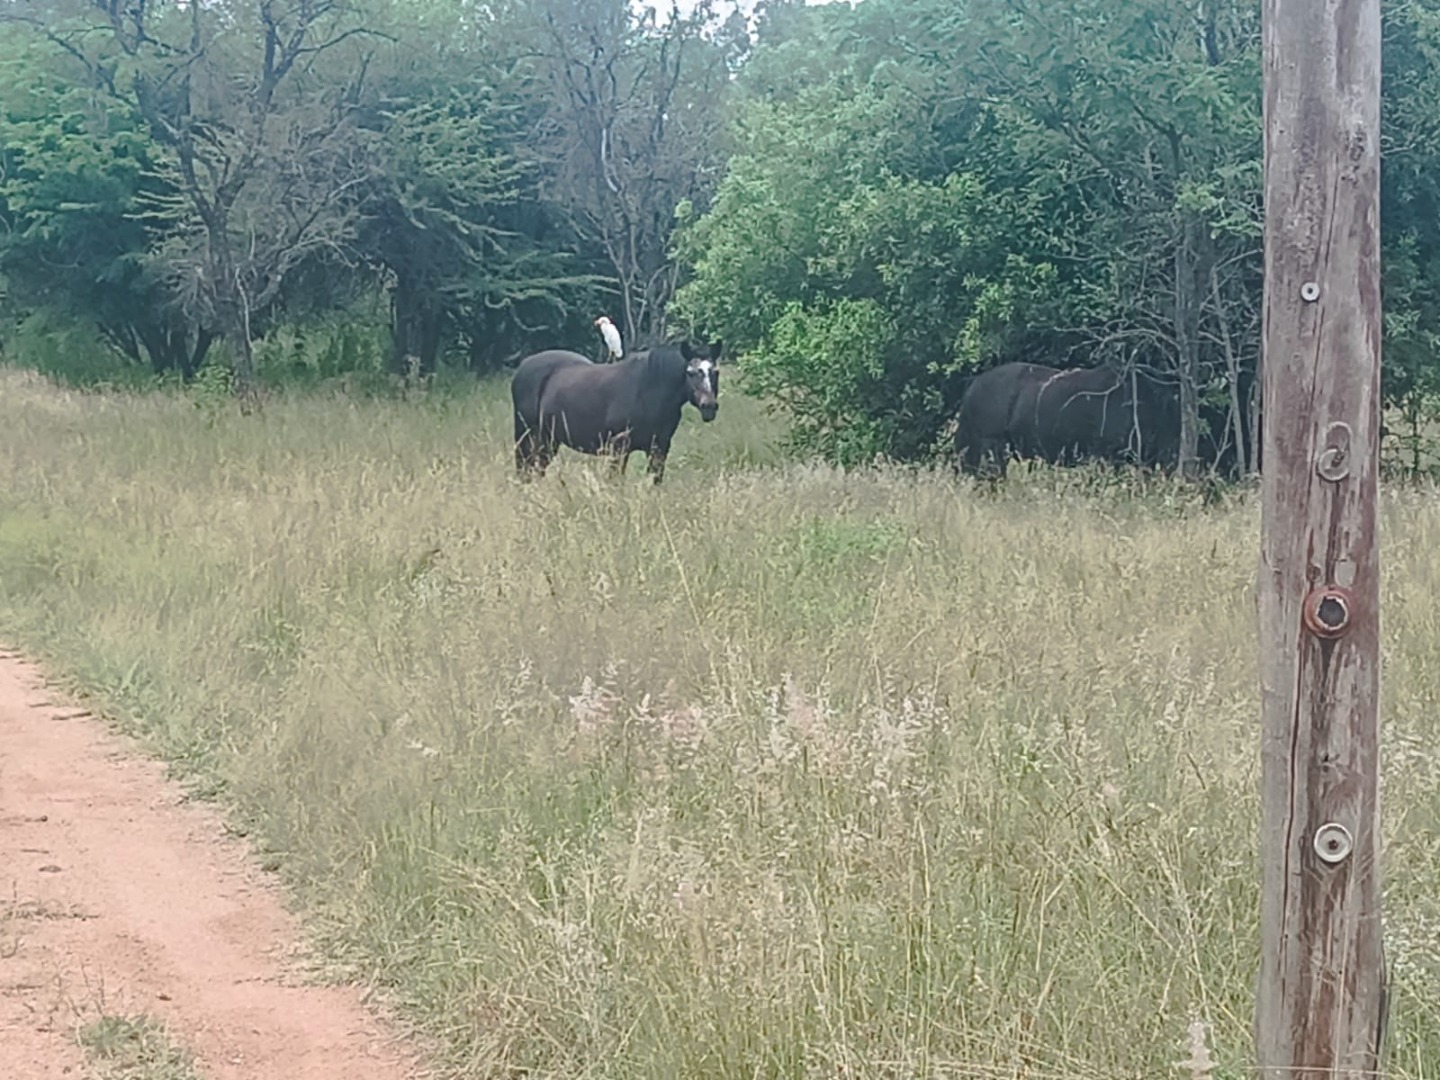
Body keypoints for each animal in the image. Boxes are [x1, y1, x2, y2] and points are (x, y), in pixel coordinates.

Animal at [511, 339, 723, 485]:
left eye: (715, 371)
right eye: (691, 372)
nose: (709, 406)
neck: (649, 390)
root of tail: (523, 366)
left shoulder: (660, 448)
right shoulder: (619, 447)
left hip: (550, 440)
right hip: (528, 436)